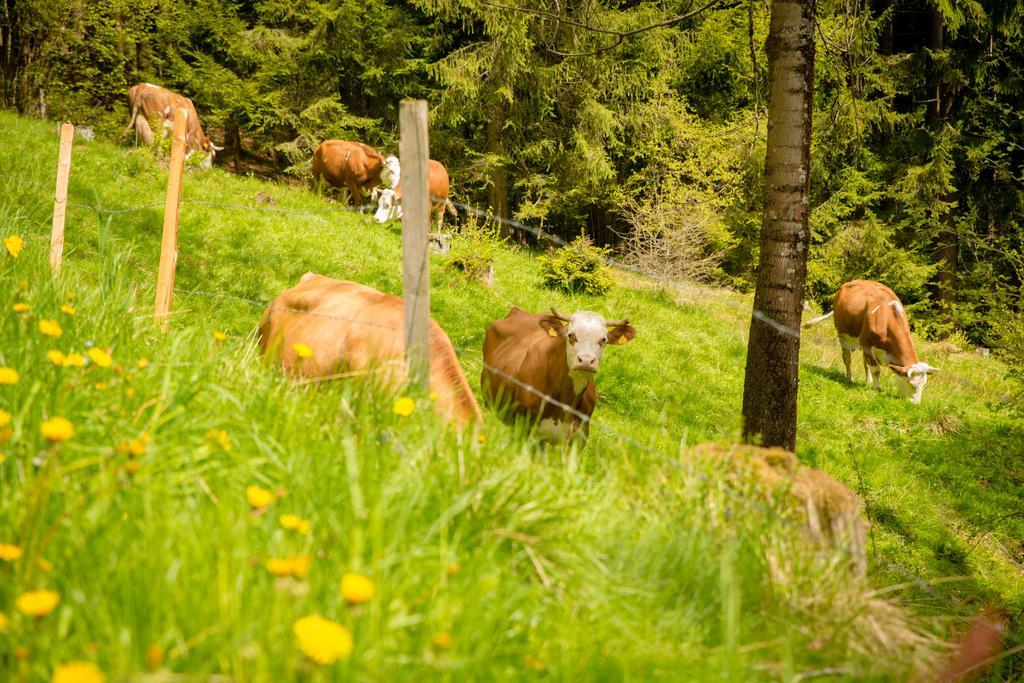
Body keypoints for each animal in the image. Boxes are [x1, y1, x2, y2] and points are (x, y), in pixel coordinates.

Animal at [481, 305, 638, 444]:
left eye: (603, 339)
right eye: (571, 335)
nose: (586, 361)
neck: (565, 404)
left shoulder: (579, 437)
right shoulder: (525, 428)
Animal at [802, 278, 937, 403]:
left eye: (923, 384)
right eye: (911, 384)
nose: (915, 404)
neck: (887, 319)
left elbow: (869, 365)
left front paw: (871, 383)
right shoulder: (866, 343)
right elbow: (876, 370)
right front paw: (877, 388)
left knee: (864, 362)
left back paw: (867, 381)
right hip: (843, 335)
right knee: (847, 358)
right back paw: (850, 378)